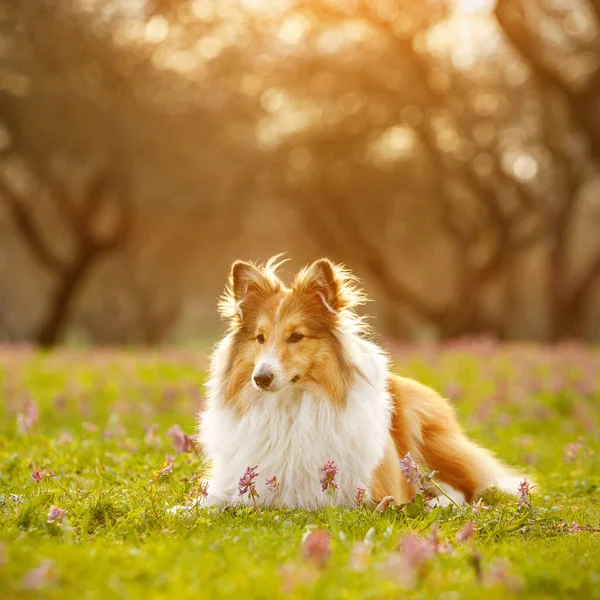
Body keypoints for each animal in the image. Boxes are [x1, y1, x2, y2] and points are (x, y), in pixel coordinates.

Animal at [198, 255, 524, 508]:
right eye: (260, 337)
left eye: (296, 336)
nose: (261, 378)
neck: (289, 406)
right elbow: (211, 499)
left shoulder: (367, 489)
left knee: (462, 487)